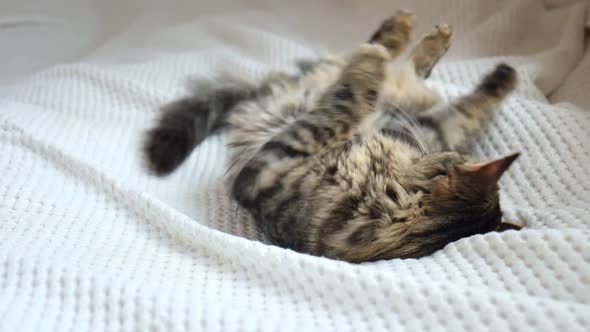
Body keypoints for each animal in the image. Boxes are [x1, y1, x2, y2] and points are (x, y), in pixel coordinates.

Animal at [145, 10, 528, 264]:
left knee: (375, 67)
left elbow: (339, 111)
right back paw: (415, 34)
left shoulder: (270, 166)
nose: (406, 141)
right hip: (357, 91)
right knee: (396, 63)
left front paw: (367, 73)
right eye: (446, 157)